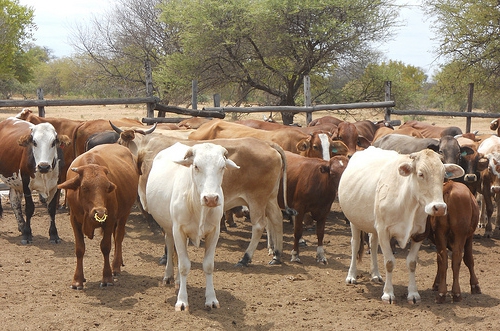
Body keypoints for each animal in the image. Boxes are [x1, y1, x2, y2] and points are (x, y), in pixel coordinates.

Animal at [0, 116, 71, 244]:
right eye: (34, 142)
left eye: (53, 142)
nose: (43, 166)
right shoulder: (26, 185)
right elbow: (29, 208)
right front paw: (27, 235)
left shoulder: (56, 186)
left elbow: (51, 209)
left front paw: (54, 234)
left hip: (15, 183)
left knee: (14, 201)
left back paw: (21, 226)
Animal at [57, 144, 140, 290]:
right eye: (84, 187)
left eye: (107, 187)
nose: (100, 212)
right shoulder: (74, 220)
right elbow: (80, 249)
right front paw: (78, 280)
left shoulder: (110, 219)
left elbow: (105, 247)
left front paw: (107, 277)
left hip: (124, 214)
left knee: (118, 237)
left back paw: (116, 266)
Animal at [144, 142, 239, 312]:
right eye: (196, 166)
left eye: (222, 167)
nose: (211, 198)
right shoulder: (178, 230)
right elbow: (183, 266)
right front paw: (182, 301)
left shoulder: (214, 232)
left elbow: (208, 265)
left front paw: (211, 299)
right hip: (169, 228)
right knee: (170, 245)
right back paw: (168, 276)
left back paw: (177, 280)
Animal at [338, 148, 462, 306]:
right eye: (421, 174)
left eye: (443, 175)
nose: (439, 207)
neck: (407, 202)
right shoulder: (384, 231)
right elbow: (389, 262)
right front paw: (388, 294)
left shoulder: (418, 234)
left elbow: (412, 263)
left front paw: (413, 294)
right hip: (354, 220)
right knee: (355, 244)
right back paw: (352, 275)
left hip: (374, 225)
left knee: (373, 243)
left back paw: (375, 274)